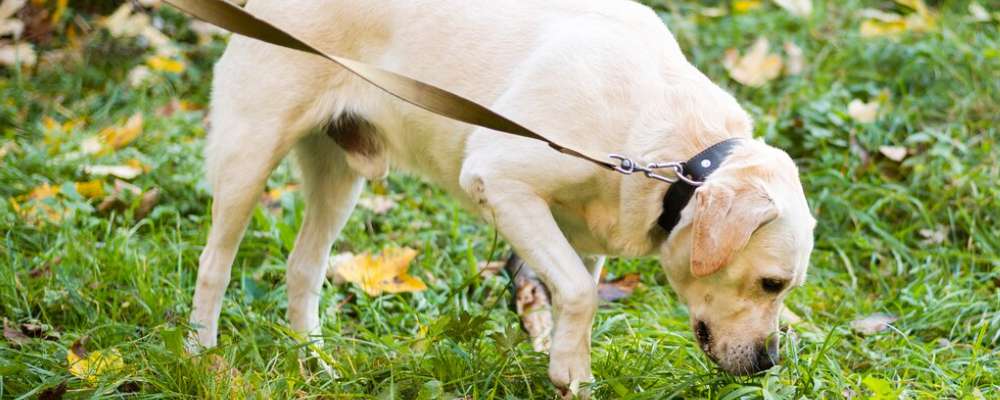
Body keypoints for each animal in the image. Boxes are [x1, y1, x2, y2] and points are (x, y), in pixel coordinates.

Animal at [188, 0, 812, 396]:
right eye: (771, 284)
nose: (768, 364)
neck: (674, 155)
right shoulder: (500, 179)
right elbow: (580, 294)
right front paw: (569, 369)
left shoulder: (584, 235)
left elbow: (574, 300)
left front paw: (568, 372)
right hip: (249, 153)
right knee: (214, 264)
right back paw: (200, 358)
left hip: (339, 176)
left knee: (304, 268)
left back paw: (314, 364)